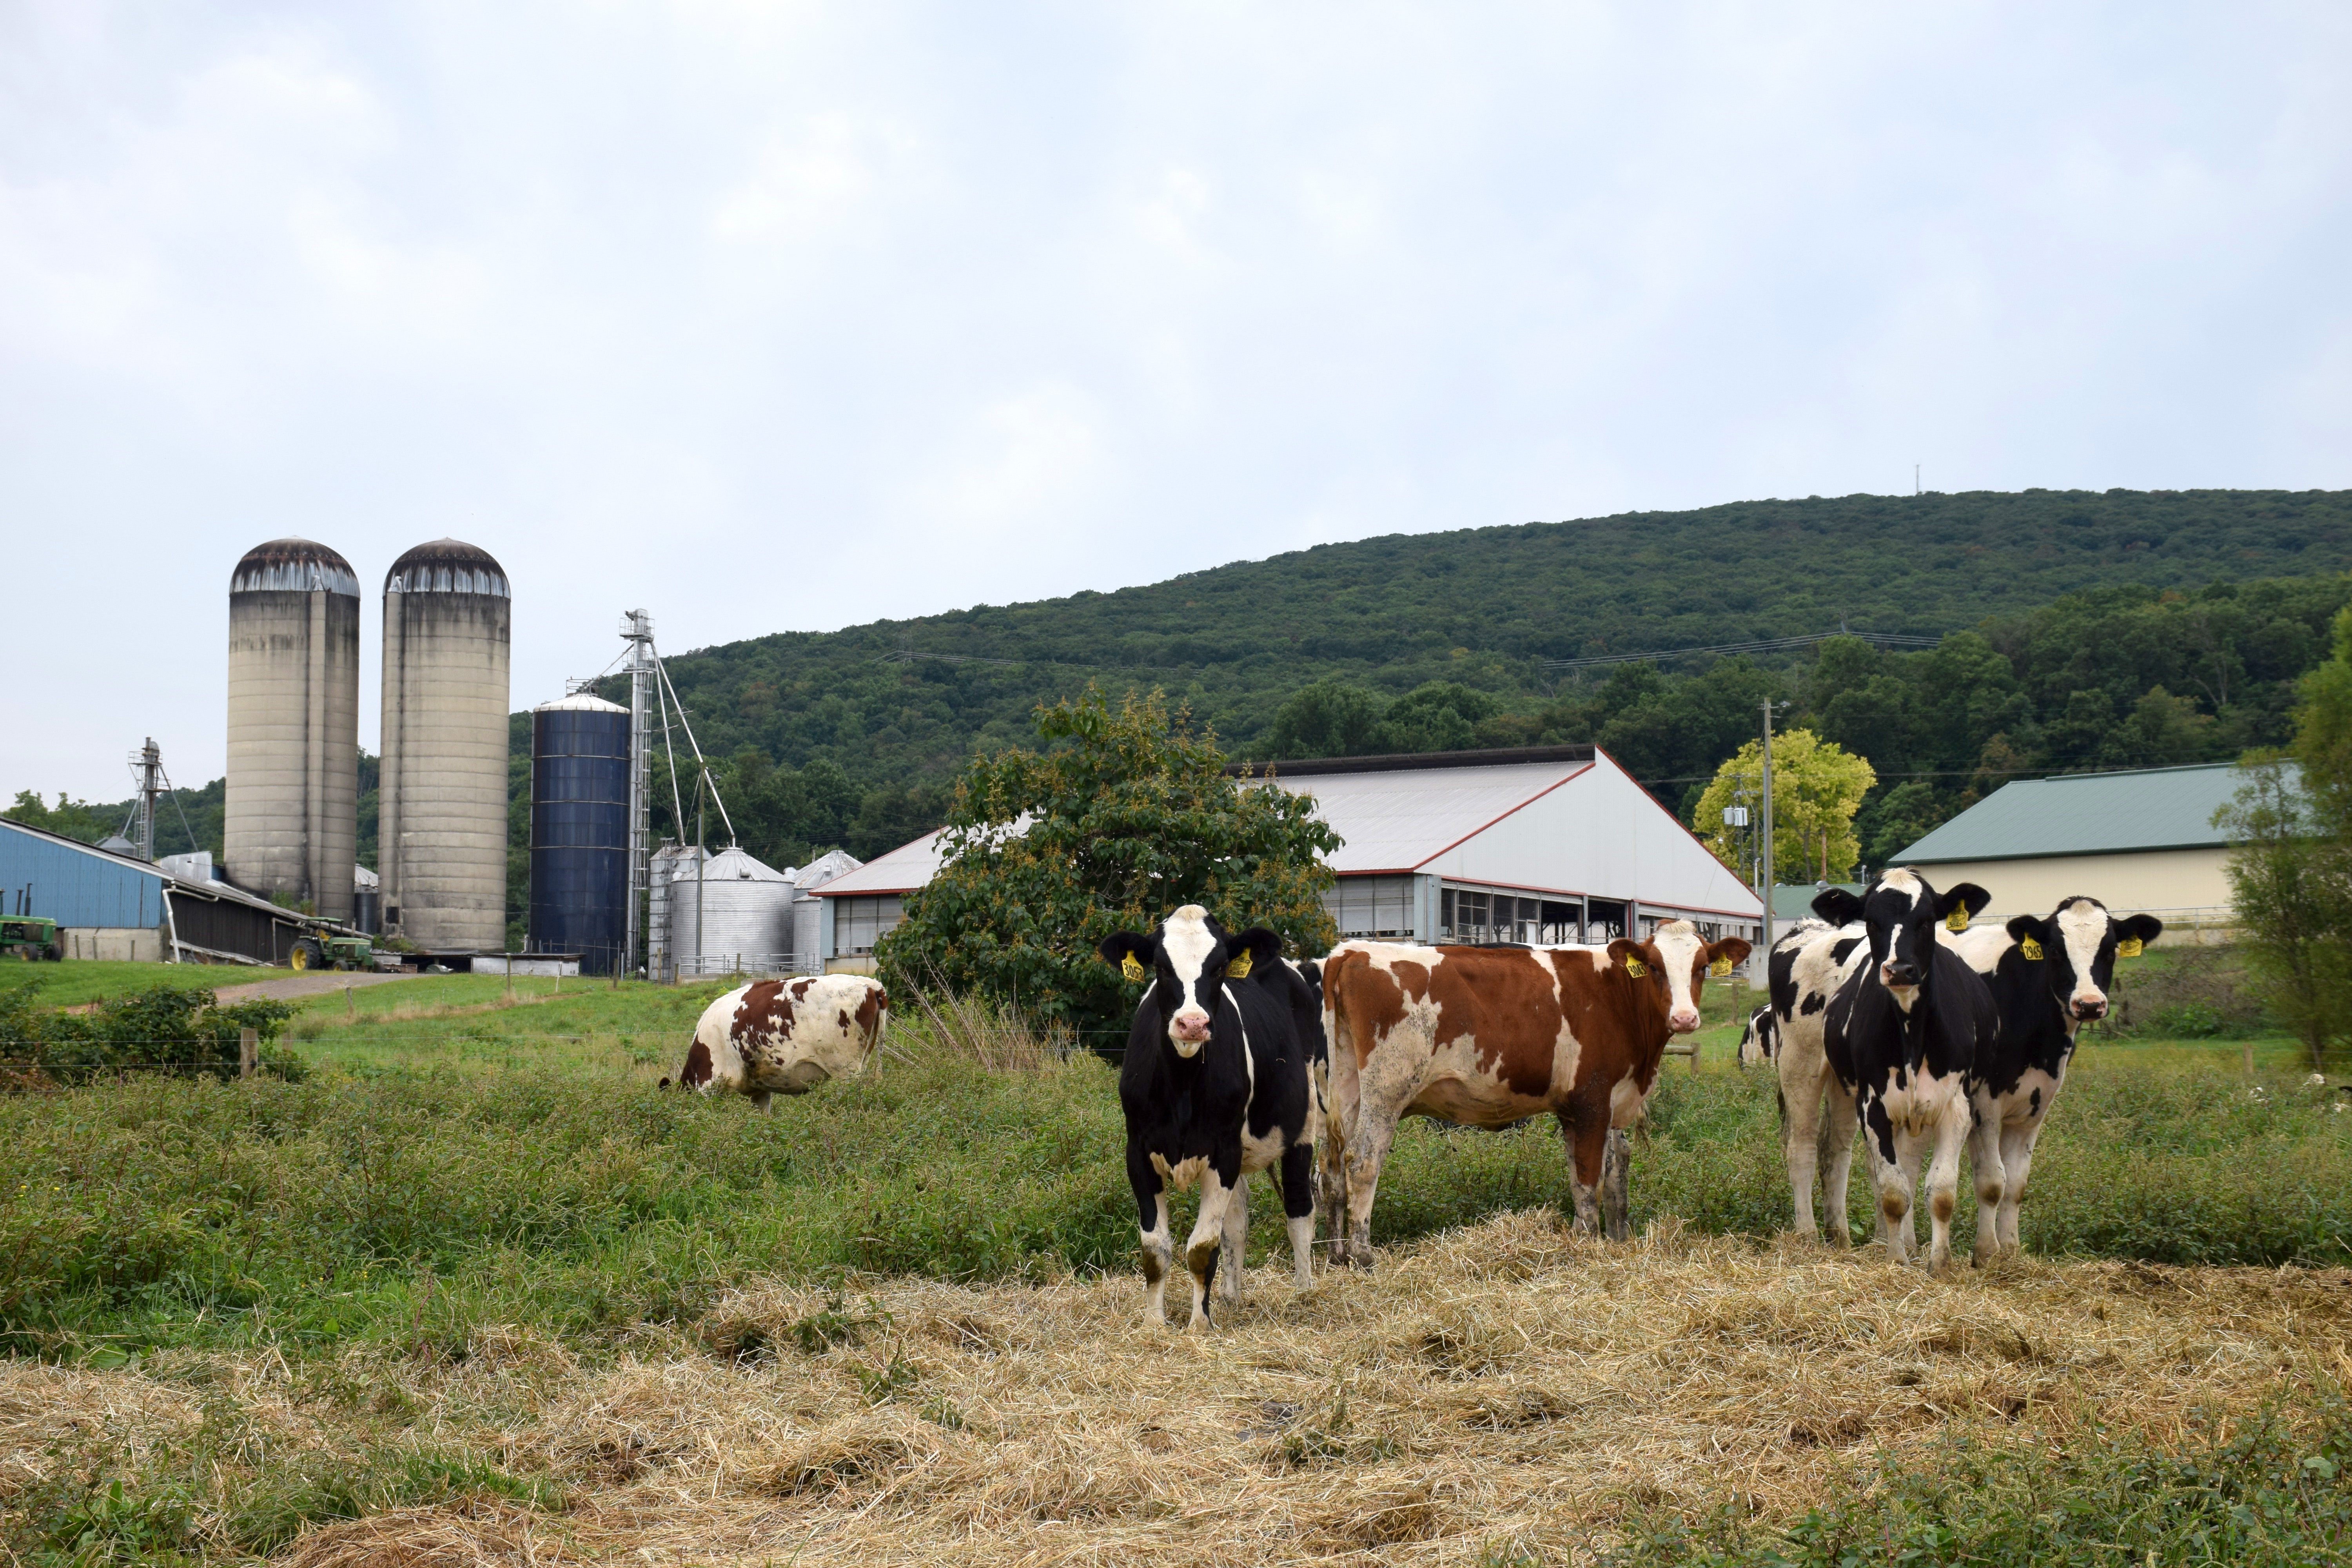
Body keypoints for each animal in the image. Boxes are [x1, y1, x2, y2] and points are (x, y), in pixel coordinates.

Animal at [1101, 902, 1327, 1335]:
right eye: (1161, 966)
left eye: (1220, 967)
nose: (1192, 1023)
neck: (1182, 1086)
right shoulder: (1138, 1152)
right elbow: (1156, 1249)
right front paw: (1154, 1325)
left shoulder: (1222, 1152)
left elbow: (1201, 1248)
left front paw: (1198, 1326)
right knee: (1237, 1222)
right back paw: (1231, 1298)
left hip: (1303, 1126)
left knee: (1299, 1208)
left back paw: (1305, 1293)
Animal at [1327, 926, 1750, 1269]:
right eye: (1655, 968)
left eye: (1701, 967)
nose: (1685, 1018)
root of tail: (1351, 952)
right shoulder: (1593, 1100)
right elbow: (1590, 1181)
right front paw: (1588, 1245)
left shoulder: (1584, 1107)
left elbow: (1596, 1177)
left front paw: (1595, 1238)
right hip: (1387, 1090)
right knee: (1362, 1162)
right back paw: (1363, 1255)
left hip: (1347, 1089)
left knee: (1329, 1165)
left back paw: (1337, 1255)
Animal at [1806, 869, 1994, 1279]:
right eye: (1872, 921)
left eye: (1927, 920)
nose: (1900, 970)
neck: (1911, 1030)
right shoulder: (1873, 1105)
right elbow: (1893, 1192)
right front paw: (1896, 1260)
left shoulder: (1955, 1106)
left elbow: (1941, 1191)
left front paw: (1940, 1264)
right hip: (1821, 1080)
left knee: (1911, 1166)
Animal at [1938, 893, 2154, 1260]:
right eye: (2055, 950)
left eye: (2110, 950)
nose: (2090, 1004)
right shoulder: (1983, 1102)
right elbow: (1992, 1181)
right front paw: (1987, 1252)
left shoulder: (2036, 1105)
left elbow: (2016, 1183)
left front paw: (2011, 1250)